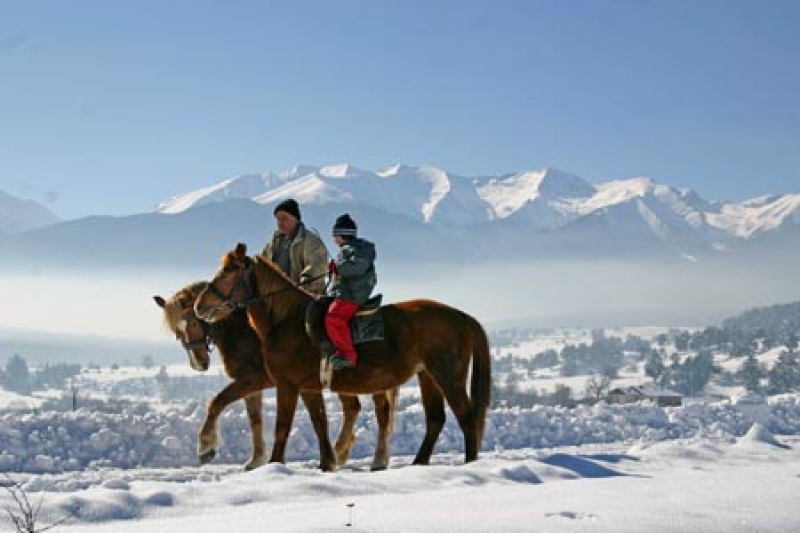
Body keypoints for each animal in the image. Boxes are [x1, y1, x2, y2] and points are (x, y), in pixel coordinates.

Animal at [154, 281, 398, 471]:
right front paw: (256, 459)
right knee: (353, 407)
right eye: (176, 331)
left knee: (380, 412)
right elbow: (254, 419)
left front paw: (206, 447)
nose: (199, 364)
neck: (243, 332)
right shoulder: (251, 384)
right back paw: (342, 452)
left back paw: (372, 458)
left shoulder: (254, 379)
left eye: (195, 322)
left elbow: (217, 402)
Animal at [193, 243, 492, 468]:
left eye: (228, 272)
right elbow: (319, 423)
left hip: (447, 375)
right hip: (427, 375)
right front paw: (327, 463)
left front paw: (269, 463)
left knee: (466, 416)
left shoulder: (287, 385)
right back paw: (418, 463)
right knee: (435, 419)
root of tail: (463, 317)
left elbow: (282, 426)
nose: (199, 306)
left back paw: (469, 463)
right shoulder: (308, 387)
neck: (286, 321)